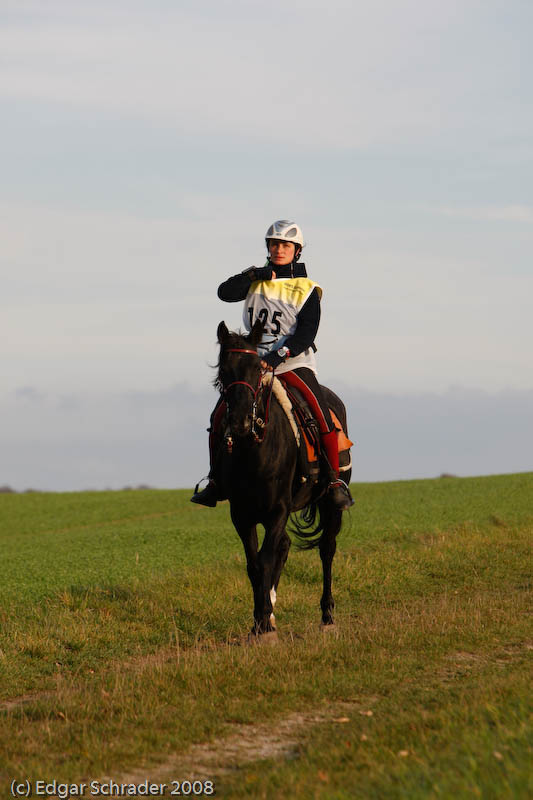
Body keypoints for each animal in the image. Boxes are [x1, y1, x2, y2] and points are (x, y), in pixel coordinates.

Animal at [212, 318, 354, 636]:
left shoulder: (277, 509)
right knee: (285, 545)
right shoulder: (242, 514)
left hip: (330, 504)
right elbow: (254, 565)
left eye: (257, 368)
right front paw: (260, 622)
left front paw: (264, 623)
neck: (253, 450)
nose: (240, 422)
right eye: (224, 370)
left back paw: (327, 617)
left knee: (326, 549)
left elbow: (265, 561)